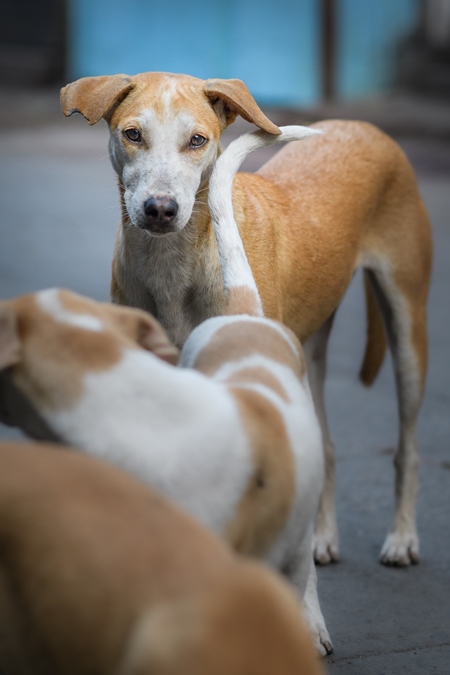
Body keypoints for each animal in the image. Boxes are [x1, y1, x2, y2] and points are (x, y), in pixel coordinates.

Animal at [59, 72, 432, 572]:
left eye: (197, 140)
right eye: (132, 134)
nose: (160, 208)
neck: (175, 263)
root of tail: (361, 125)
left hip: (407, 328)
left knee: (408, 448)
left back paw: (403, 538)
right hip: (309, 352)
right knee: (326, 447)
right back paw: (322, 536)